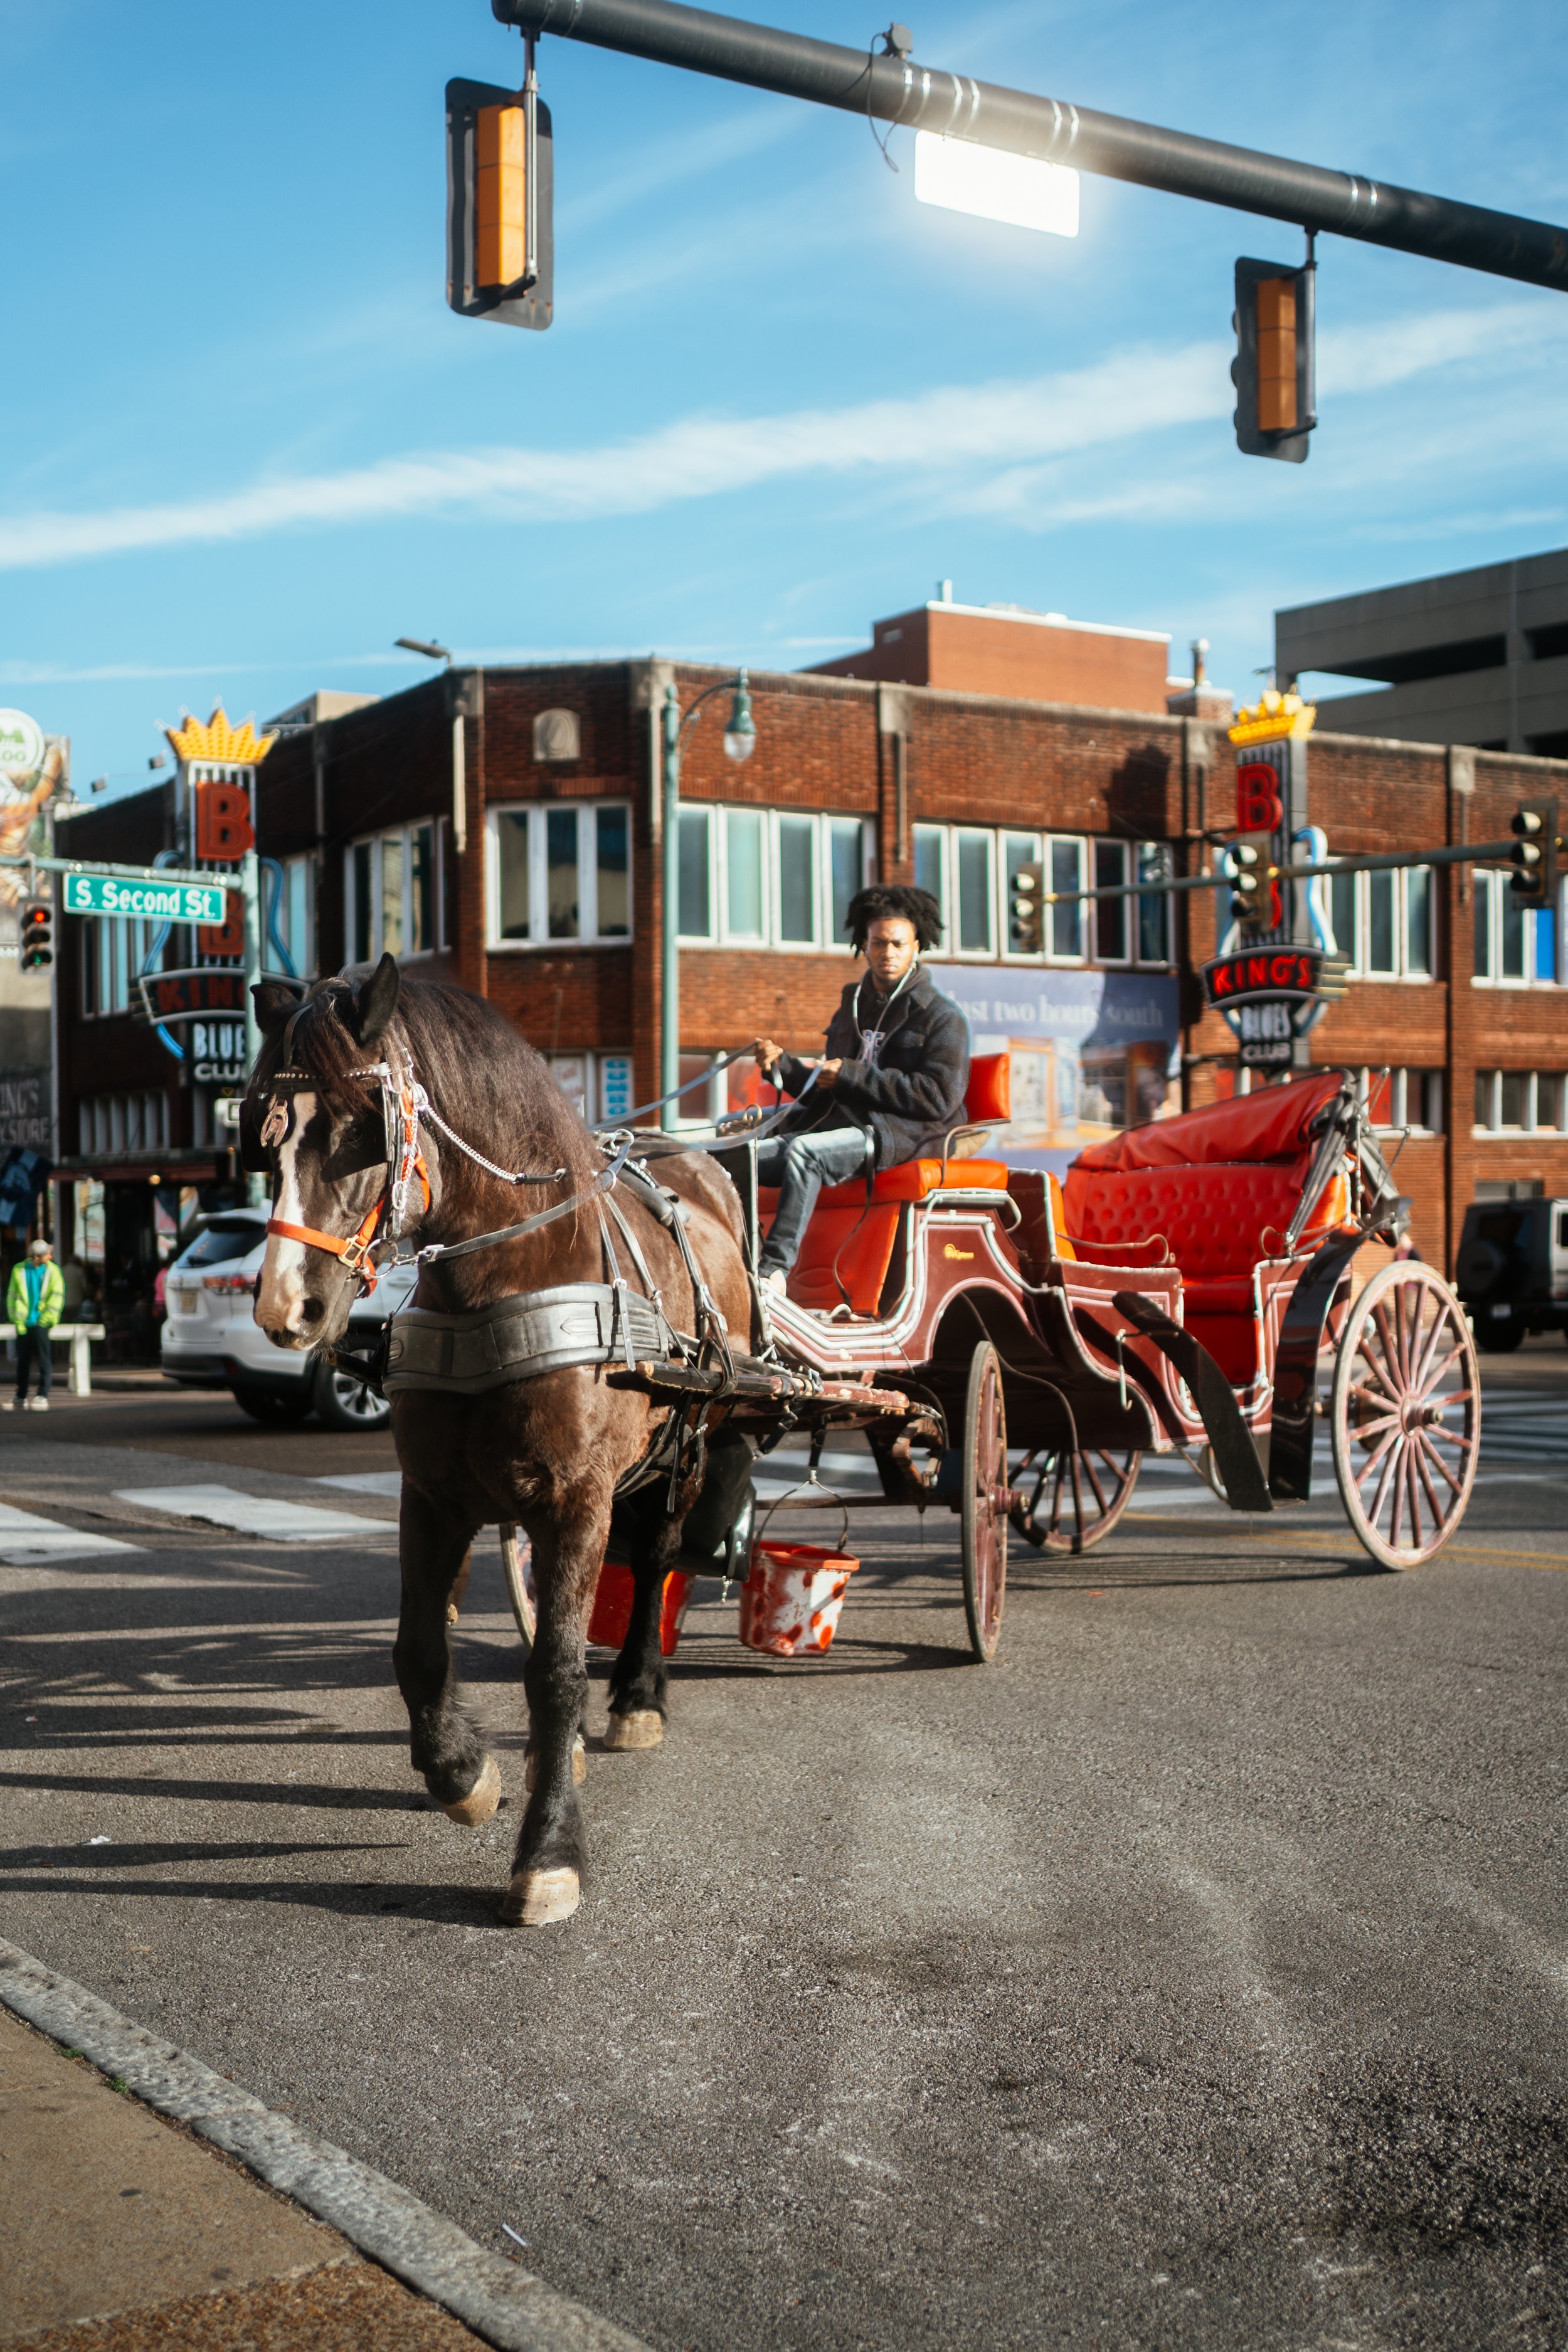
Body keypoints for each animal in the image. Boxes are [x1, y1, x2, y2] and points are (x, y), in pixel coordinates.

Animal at [245, 955, 752, 1929]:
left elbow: (554, 1669)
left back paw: (637, 1693)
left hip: (687, 1446)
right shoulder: (433, 1495)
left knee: (658, 1560)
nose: (287, 1307)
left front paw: (549, 1852)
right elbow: (418, 1649)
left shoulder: (578, 1499)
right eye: (265, 1136)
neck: (508, 1278)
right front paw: (462, 1773)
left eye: (364, 1129)